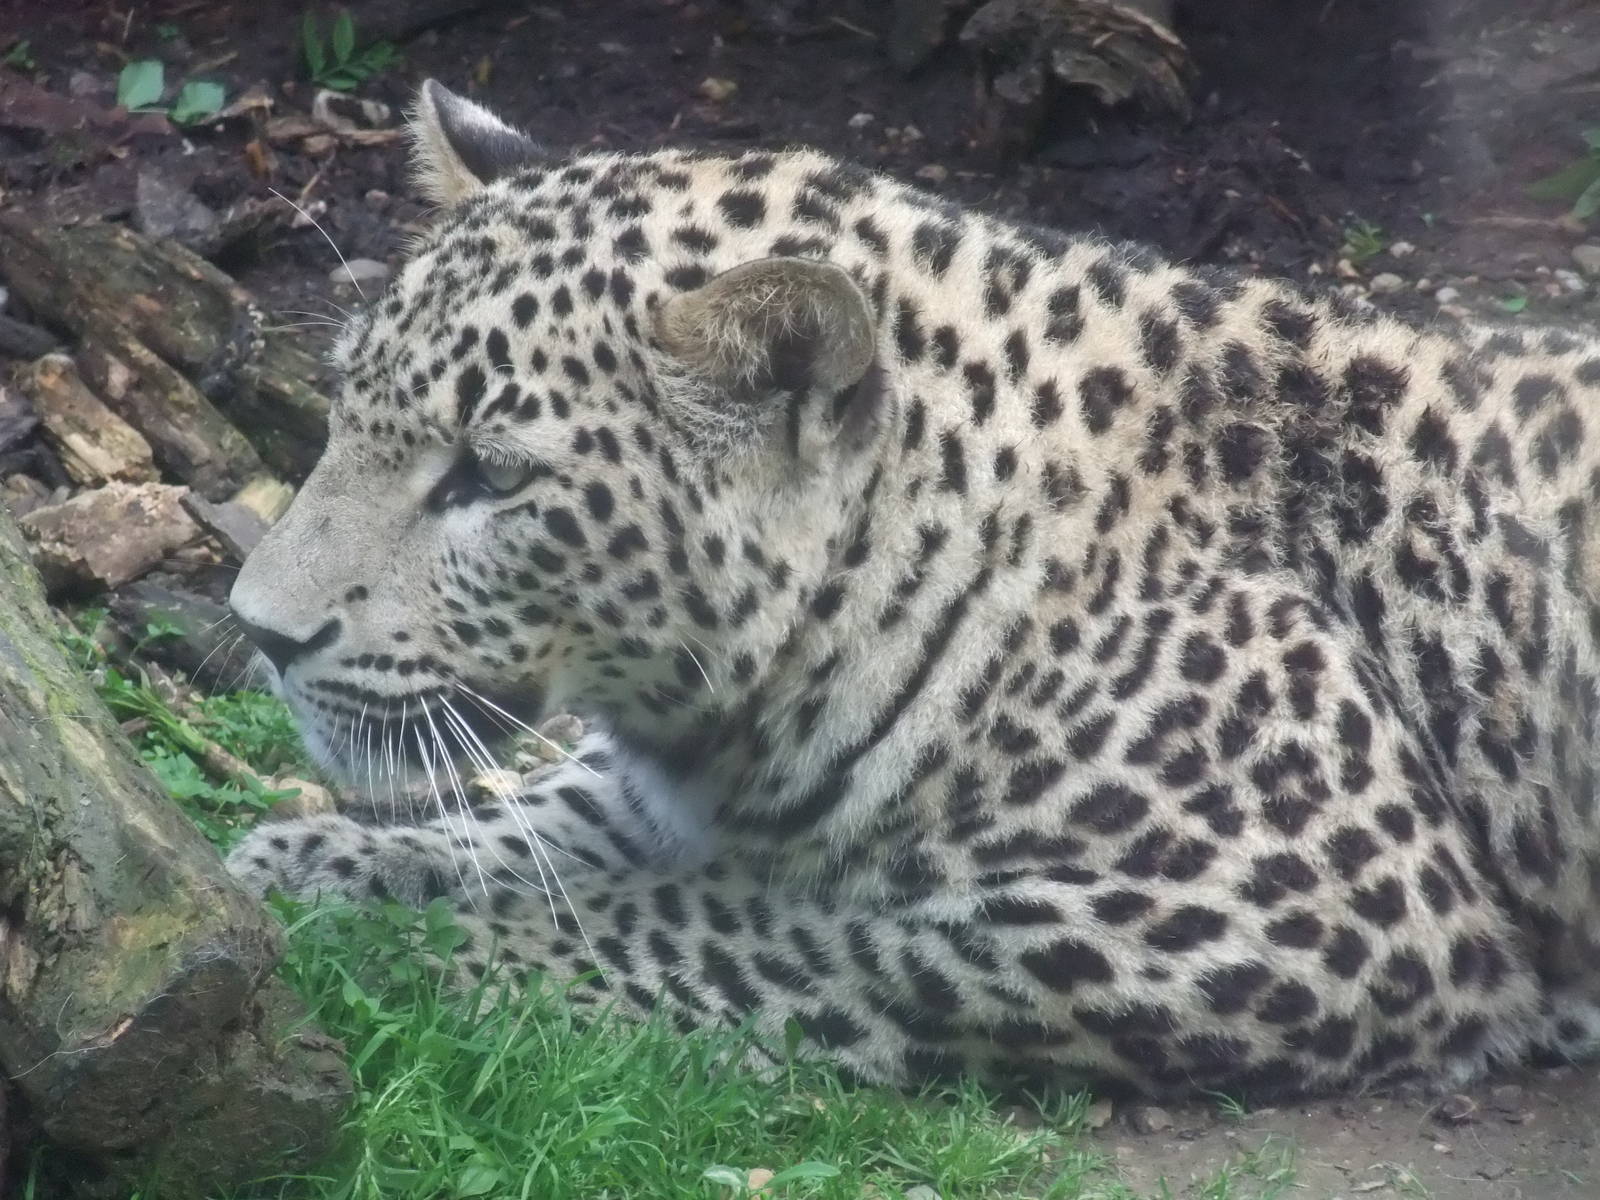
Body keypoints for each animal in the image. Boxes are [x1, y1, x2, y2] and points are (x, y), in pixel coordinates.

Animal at [226, 79, 1600, 1100]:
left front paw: (398, 948)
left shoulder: (1301, 906)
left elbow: (711, 921)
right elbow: (537, 822)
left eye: (489, 476)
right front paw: (319, 863)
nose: (257, 631)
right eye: (344, 405)